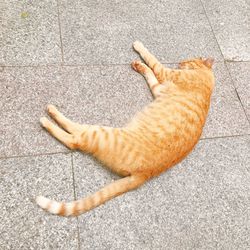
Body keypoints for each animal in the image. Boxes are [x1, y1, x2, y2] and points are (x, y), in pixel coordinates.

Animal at [36, 41, 214, 217]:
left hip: (101, 132)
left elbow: (151, 58)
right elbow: (150, 73)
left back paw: (49, 115)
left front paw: (139, 47)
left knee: (74, 139)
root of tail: (145, 174)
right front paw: (138, 65)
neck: (207, 81)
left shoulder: (166, 73)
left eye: (189, 60)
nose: (181, 62)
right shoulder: (158, 89)